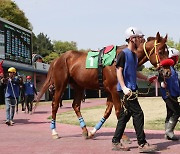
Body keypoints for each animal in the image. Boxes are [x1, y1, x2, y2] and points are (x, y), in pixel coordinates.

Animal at [37, 31, 172, 139]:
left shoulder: (110, 91)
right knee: (55, 105)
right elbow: (118, 112)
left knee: (75, 105)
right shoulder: (114, 90)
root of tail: (59, 58)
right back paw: (54, 132)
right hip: (60, 85)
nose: (167, 72)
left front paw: (93, 132)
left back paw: (85, 130)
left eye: (168, 52)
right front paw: (123, 137)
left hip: (79, 86)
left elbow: (107, 112)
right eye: (160, 51)